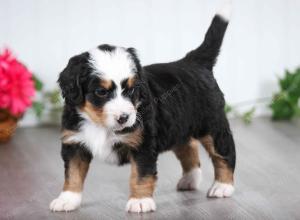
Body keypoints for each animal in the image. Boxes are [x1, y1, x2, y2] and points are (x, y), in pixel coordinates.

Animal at [50, 2, 236, 213]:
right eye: (101, 92)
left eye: (131, 89)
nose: (124, 118)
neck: (100, 125)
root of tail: (194, 61)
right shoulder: (74, 143)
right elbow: (72, 174)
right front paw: (67, 199)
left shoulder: (143, 144)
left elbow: (141, 174)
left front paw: (140, 201)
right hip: (178, 126)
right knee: (188, 148)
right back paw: (190, 179)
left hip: (212, 126)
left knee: (225, 154)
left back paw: (223, 186)